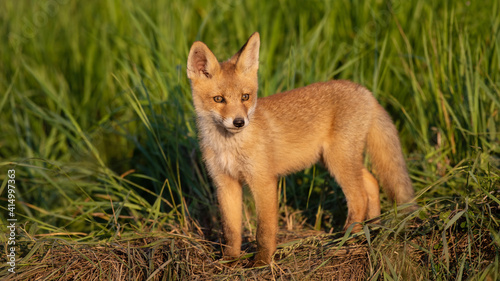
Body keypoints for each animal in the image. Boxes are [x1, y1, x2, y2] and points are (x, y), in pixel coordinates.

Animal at [187, 32, 414, 264]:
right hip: (335, 160)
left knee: (359, 197)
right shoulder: (225, 183)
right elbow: (231, 230)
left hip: (338, 160)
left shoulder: (263, 181)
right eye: (218, 99)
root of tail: (364, 90)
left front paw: (262, 262)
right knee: (372, 182)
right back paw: (372, 226)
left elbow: (264, 231)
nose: (239, 122)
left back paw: (348, 237)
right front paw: (230, 260)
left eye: (245, 97)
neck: (229, 146)